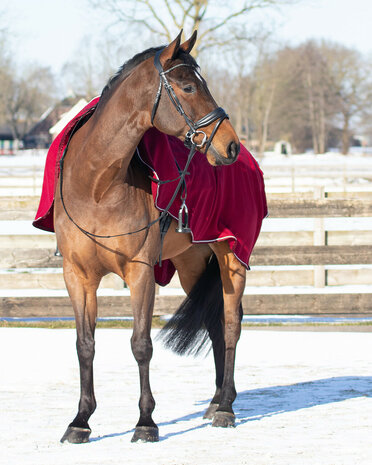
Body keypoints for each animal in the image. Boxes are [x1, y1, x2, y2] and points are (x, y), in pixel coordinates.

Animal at [54, 30, 247, 444]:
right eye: (189, 87)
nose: (230, 146)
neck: (96, 185)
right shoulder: (77, 276)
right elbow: (84, 345)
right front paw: (80, 420)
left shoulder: (140, 272)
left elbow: (141, 344)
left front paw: (146, 421)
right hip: (192, 263)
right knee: (214, 324)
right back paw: (215, 401)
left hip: (232, 259)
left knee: (230, 324)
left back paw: (226, 407)